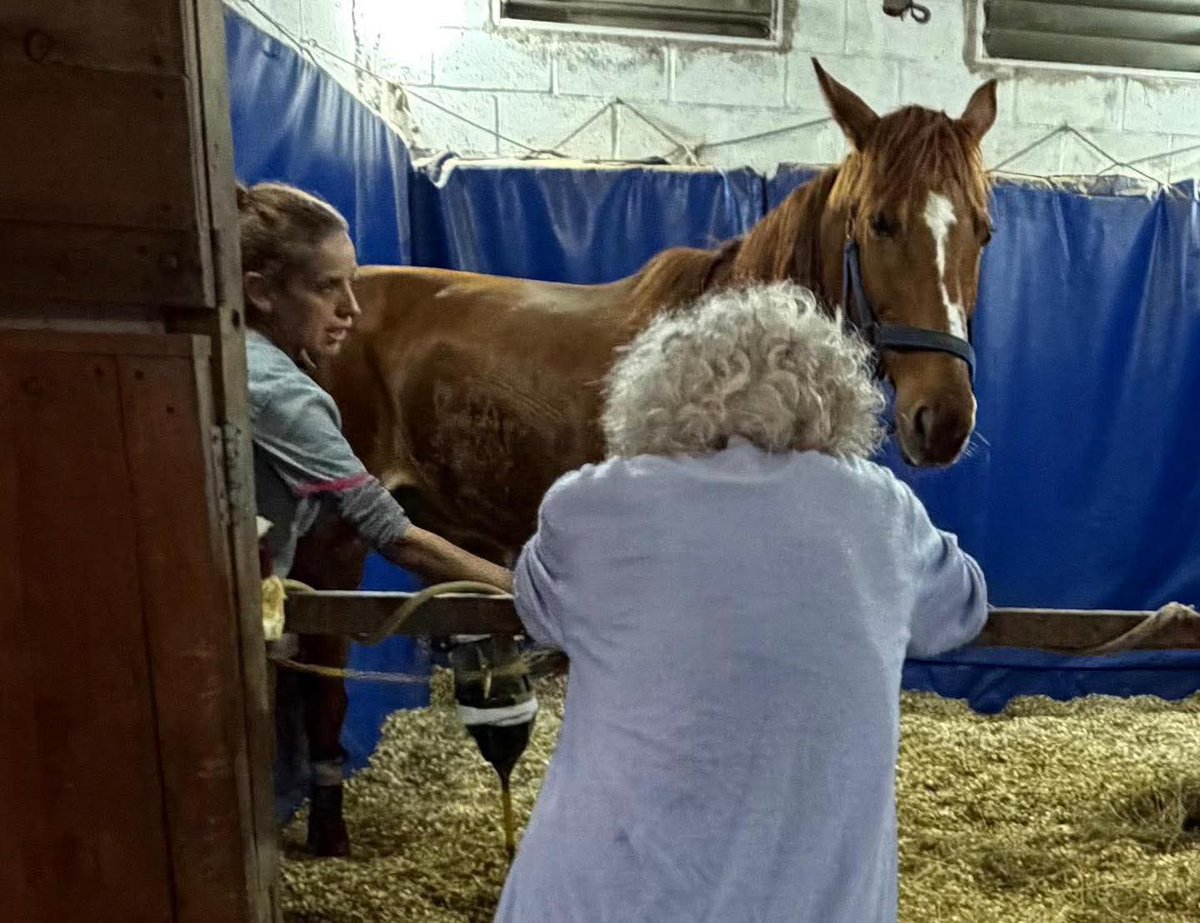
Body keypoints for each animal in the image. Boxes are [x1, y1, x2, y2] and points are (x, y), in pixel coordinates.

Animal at [289, 59, 999, 855]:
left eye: (983, 232)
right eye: (880, 222)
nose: (943, 419)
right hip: (335, 540)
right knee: (321, 672)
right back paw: (328, 830)